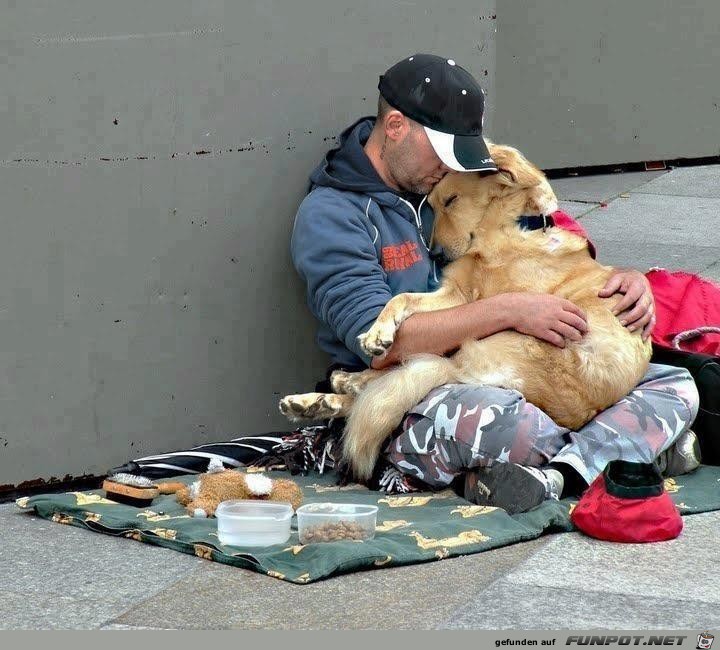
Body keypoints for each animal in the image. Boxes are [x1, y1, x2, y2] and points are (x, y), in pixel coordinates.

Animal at [282, 144, 652, 478]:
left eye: (451, 200)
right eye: (431, 204)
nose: (435, 253)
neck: (506, 228)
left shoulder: (475, 300)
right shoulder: (456, 294)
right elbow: (400, 300)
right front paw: (378, 331)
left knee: (389, 383)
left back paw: (334, 390)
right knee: (386, 385)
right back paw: (318, 398)